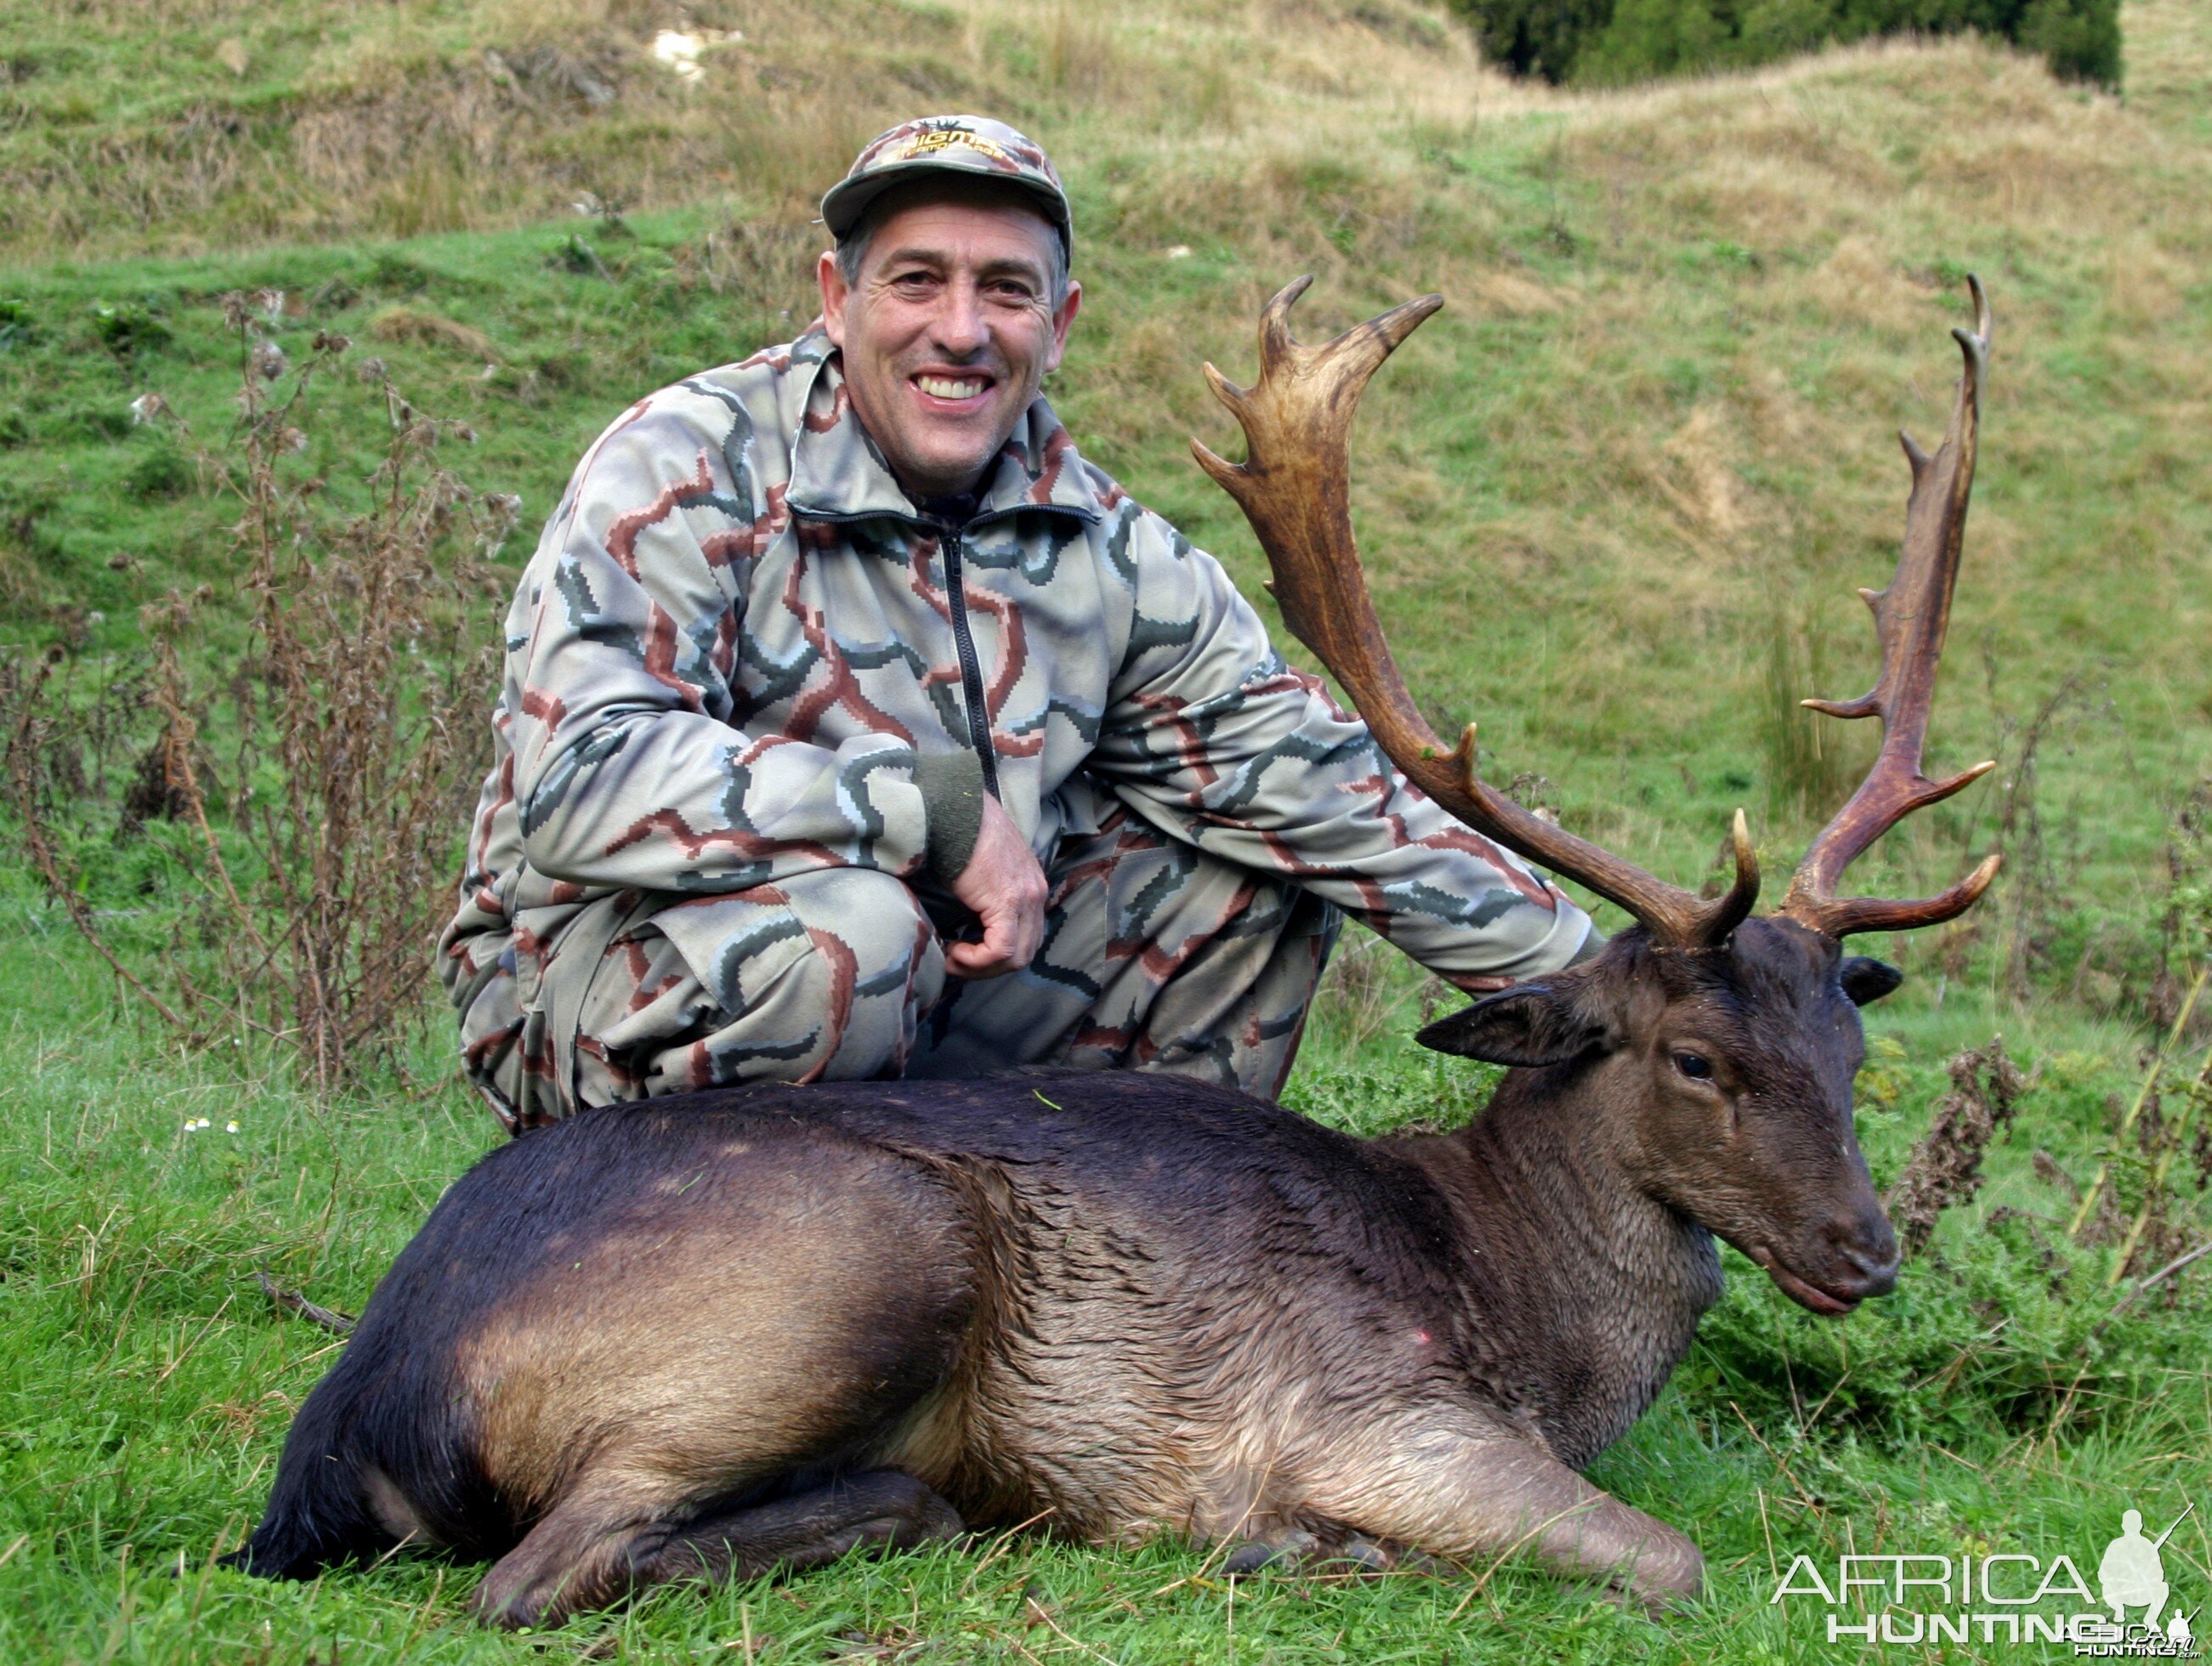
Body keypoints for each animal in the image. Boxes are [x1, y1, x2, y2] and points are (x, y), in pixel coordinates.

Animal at [224, 276, 2008, 1628]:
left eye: (1852, 1047)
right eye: (1694, 1057)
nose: (1866, 1251)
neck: (1515, 1309)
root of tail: (361, 1411)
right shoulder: (1362, 1407)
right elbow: (1674, 1560)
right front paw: (1284, 1531)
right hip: (851, 1258)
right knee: (540, 1571)